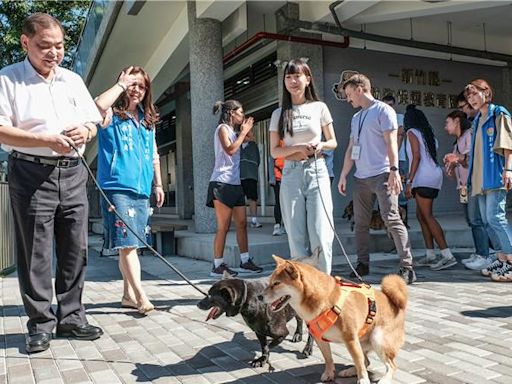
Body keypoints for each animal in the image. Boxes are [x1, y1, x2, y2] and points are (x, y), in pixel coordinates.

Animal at [262, 256, 406, 384]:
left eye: (276, 283)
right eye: (269, 283)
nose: (260, 296)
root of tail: (395, 304)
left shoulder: (350, 338)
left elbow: (359, 362)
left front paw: (363, 379)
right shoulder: (320, 339)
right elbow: (328, 358)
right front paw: (329, 373)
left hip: (377, 339)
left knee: (390, 366)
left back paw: (384, 379)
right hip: (362, 341)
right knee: (366, 361)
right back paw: (349, 371)